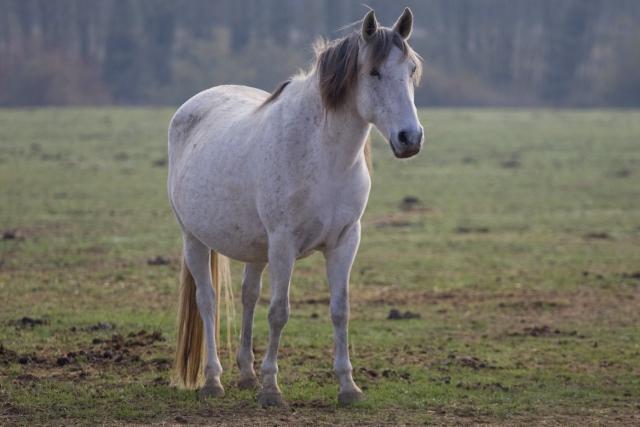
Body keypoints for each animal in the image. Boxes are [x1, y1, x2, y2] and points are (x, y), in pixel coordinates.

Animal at [168, 8, 422, 406]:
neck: (322, 154)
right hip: (194, 238)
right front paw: (272, 388)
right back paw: (213, 379)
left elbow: (340, 310)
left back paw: (246, 374)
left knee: (248, 296)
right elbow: (279, 312)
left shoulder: (345, 242)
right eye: (374, 72)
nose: (410, 138)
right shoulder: (284, 243)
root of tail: (190, 107)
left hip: (256, 248)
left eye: (411, 69)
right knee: (207, 301)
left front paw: (348, 386)